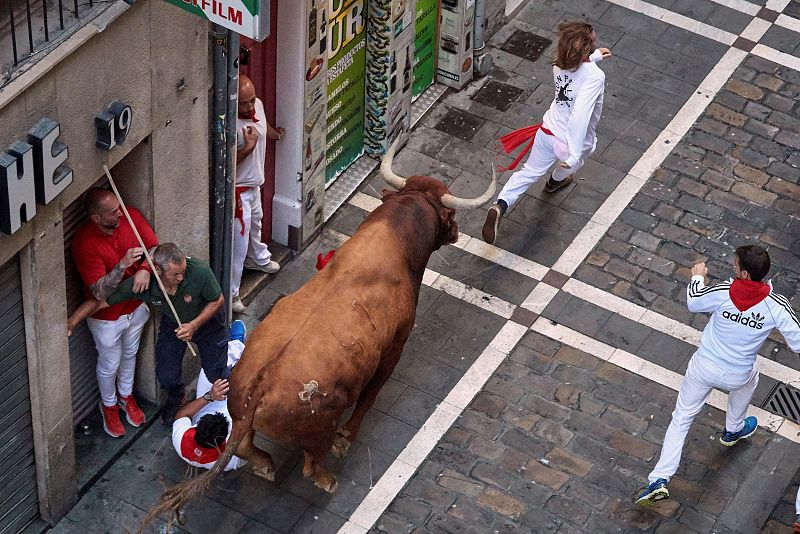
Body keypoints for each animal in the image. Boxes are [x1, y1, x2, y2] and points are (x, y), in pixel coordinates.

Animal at [141, 139, 496, 532]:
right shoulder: (394, 347)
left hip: (240, 412)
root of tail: (259, 388)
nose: (457, 231)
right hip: (319, 427)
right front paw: (347, 439)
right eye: (449, 215)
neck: (396, 240)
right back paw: (327, 478)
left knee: (247, 446)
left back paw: (266, 465)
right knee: (311, 465)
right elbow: (370, 395)